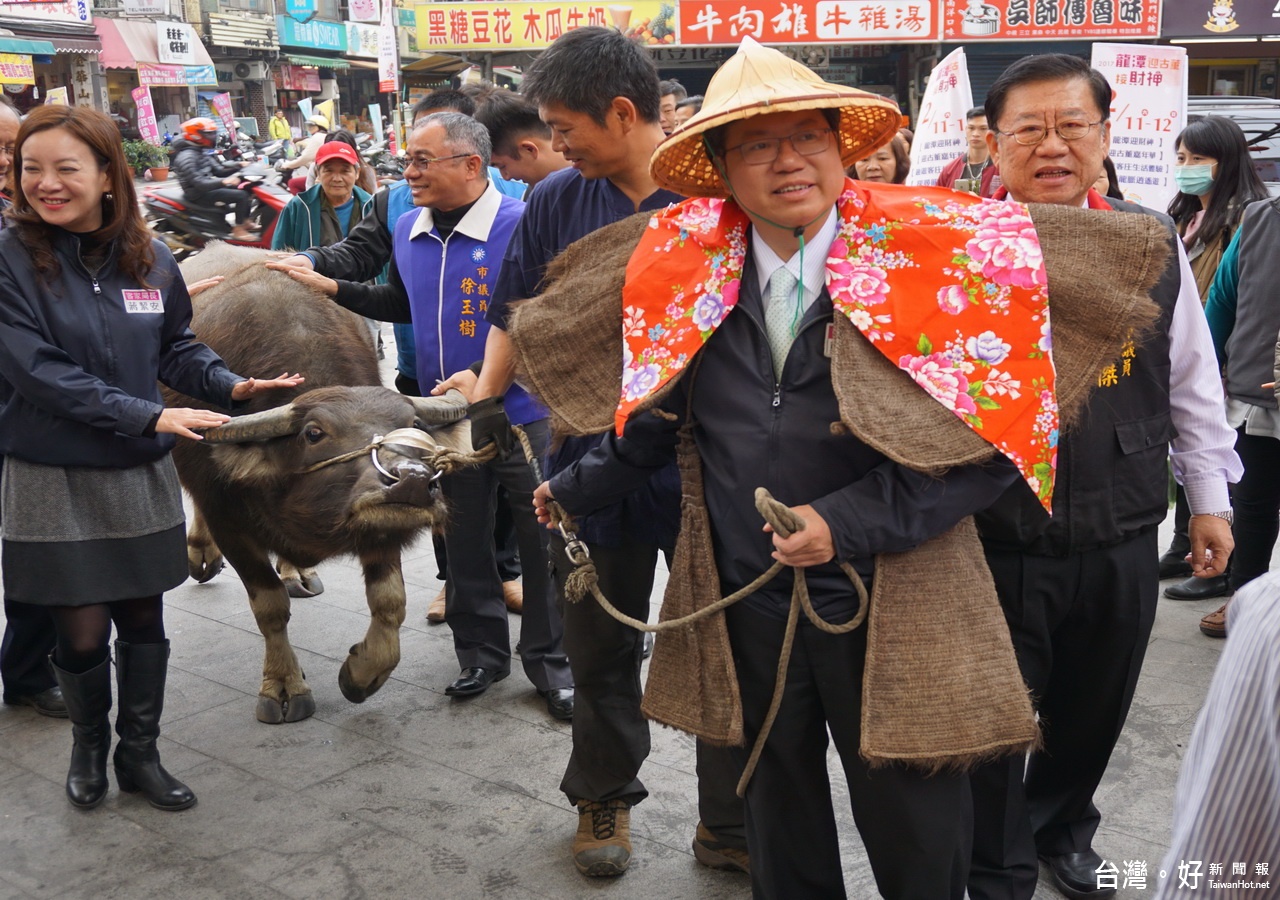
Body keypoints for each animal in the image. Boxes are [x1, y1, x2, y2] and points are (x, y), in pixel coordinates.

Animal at [166, 243, 471, 722]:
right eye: (313, 433)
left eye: (415, 425)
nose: (411, 482)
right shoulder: (228, 518)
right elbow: (270, 607)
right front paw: (283, 686)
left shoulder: (377, 519)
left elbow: (390, 602)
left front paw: (361, 674)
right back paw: (201, 554)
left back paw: (296, 571)